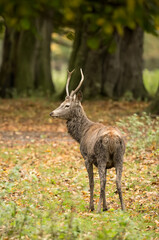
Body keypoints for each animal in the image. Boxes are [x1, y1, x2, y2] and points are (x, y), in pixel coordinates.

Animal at [49, 68, 125, 213]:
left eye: (67, 105)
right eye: (61, 103)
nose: (52, 113)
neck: (81, 134)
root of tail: (113, 138)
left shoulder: (86, 158)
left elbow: (91, 182)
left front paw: (92, 206)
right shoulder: (108, 163)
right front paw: (106, 206)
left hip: (101, 156)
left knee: (102, 181)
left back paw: (98, 209)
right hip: (120, 157)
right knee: (118, 181)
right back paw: (123, 208)